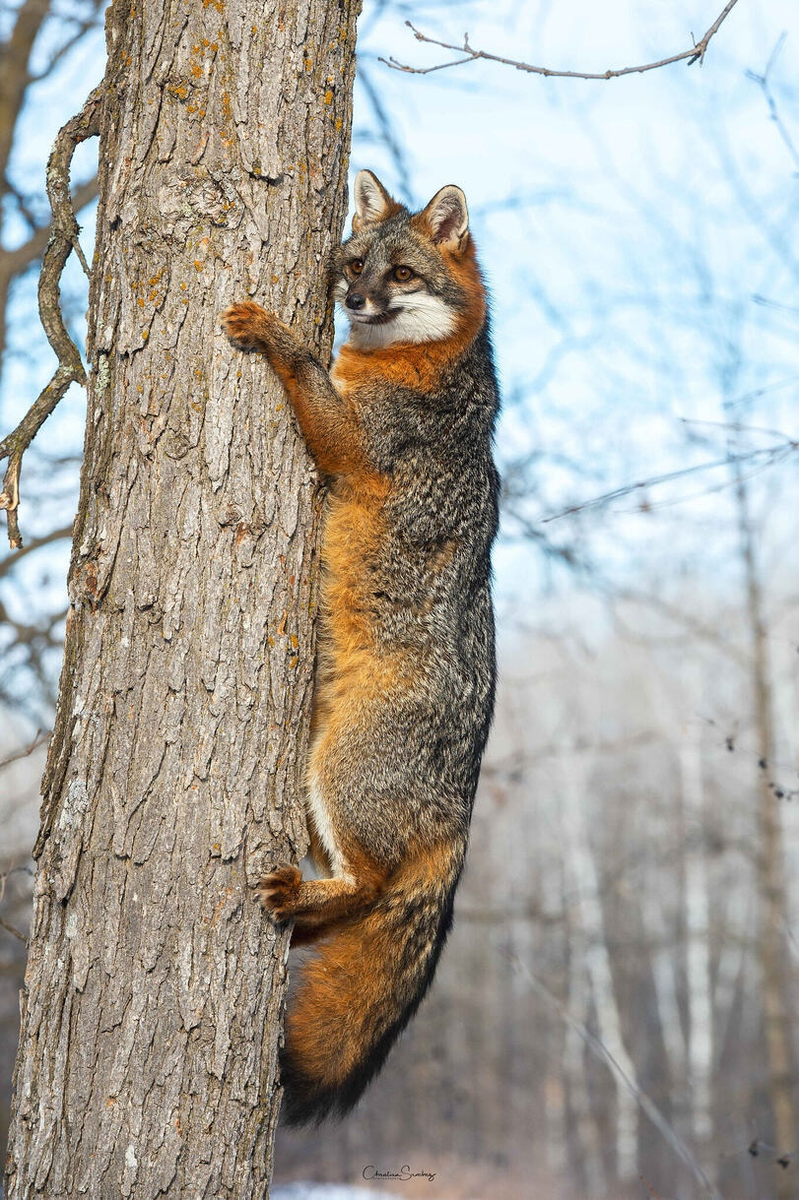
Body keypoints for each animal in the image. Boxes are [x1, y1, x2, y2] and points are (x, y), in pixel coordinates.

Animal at [220, 169, 499, 1123]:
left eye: (400, 274)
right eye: (353, 264)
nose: (349, 300)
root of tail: (460, 805)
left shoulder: (351, 444)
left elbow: (307, 374)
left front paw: (276, 334)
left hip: (340, 777)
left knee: (372, 888)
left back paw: (303, 894)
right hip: (314, 783)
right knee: (353, 907)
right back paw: (303, 907)